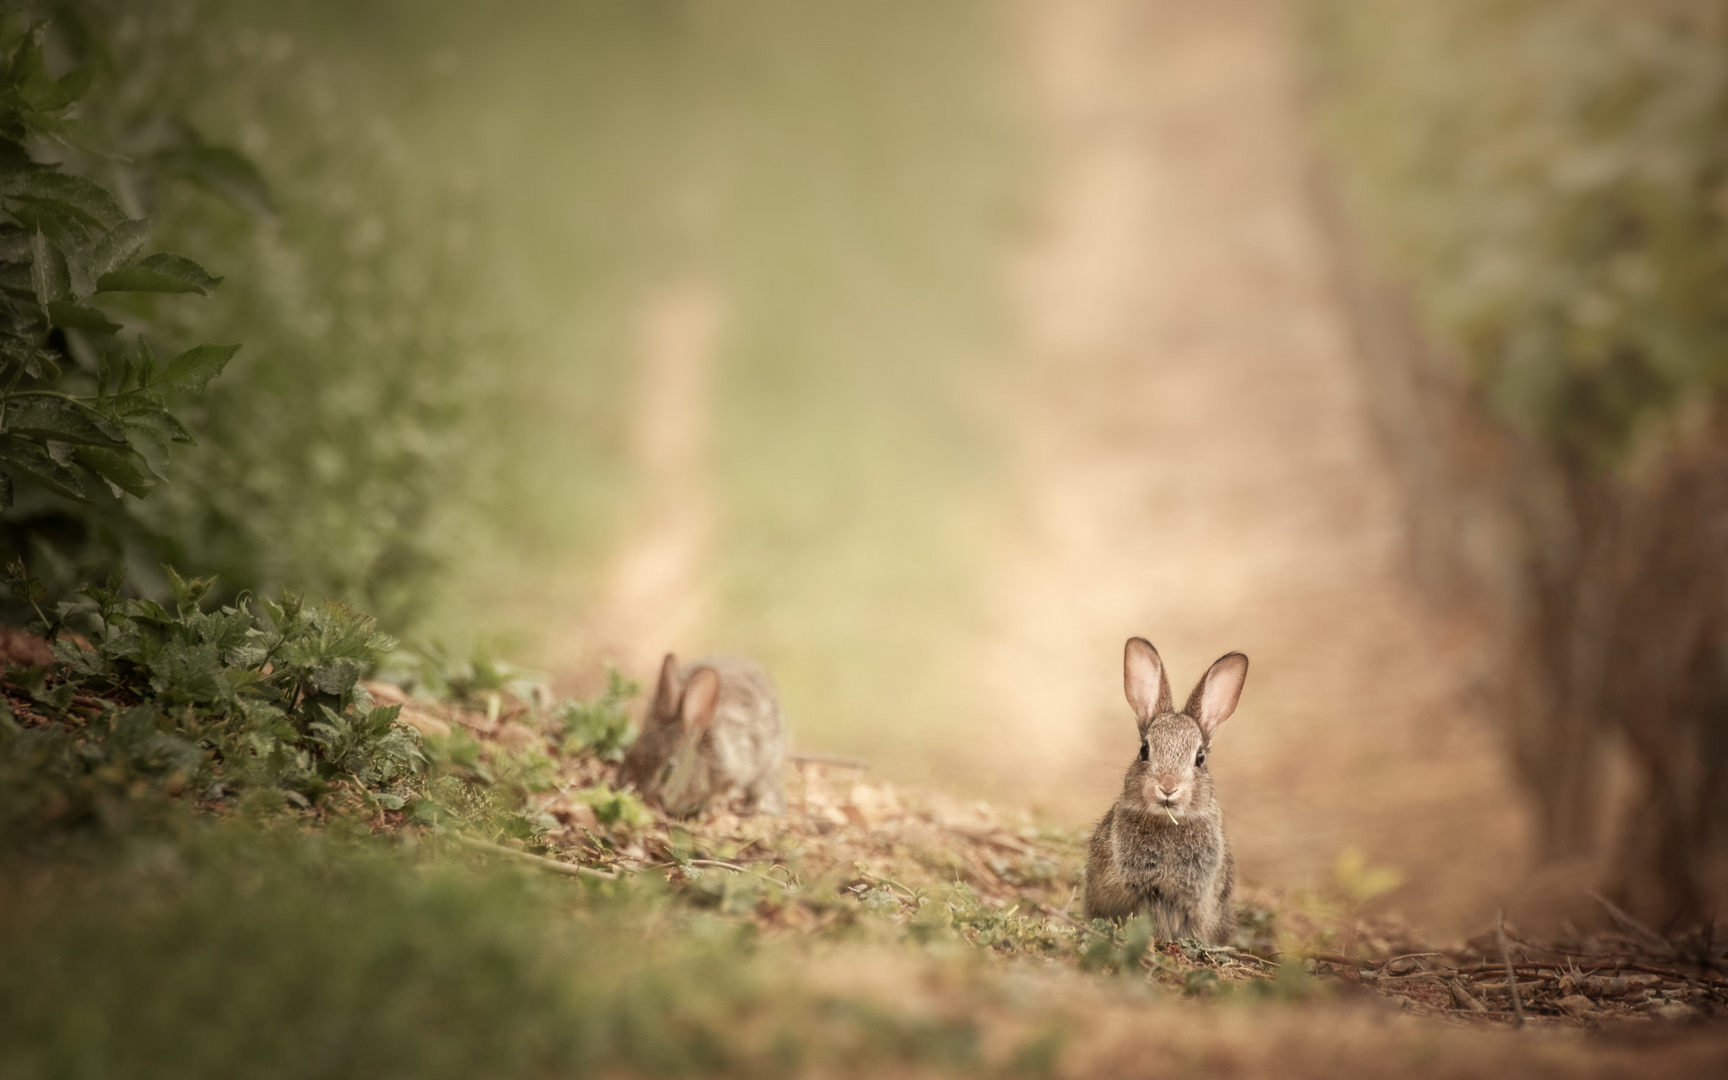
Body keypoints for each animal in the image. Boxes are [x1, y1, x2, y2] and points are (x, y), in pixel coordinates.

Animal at [618, 649, 787, 815]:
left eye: (670, 770)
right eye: (630, 753)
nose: (636, 794)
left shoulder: (735, 765)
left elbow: (725, 789)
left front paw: (711, 807)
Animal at [1085, 635, 1251, 940]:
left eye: (1200, 758)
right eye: (1144, 750)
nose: (1168, 788)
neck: (1167, 821)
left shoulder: (1192, 894)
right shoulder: (1145, 890)